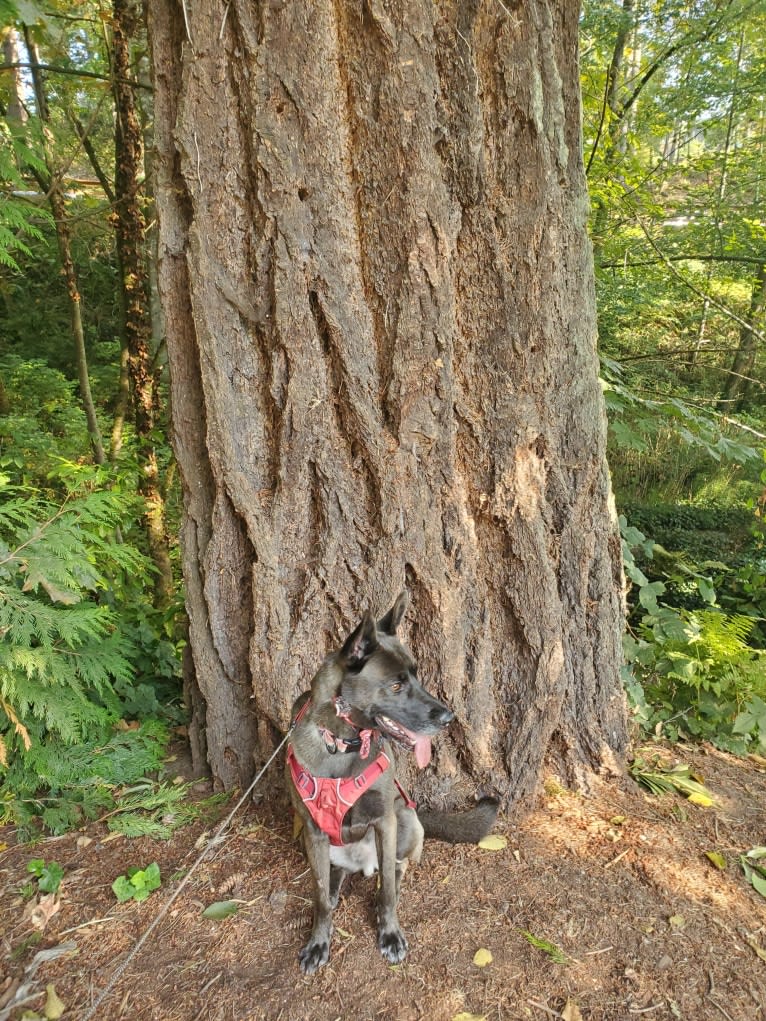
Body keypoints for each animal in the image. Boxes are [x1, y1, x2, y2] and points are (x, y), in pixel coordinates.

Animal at [285, 596, 498, 976]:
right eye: (396, 685)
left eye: (416, 675)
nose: (449, 718)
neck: (343, 746)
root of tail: (362, 864)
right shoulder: (313, 830)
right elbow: (320, 898)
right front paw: (318, 942)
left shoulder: (386, 819)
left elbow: (385, 893)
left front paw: (390, 934)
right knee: (336, 878)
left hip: (407, 821)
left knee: (394, 871)